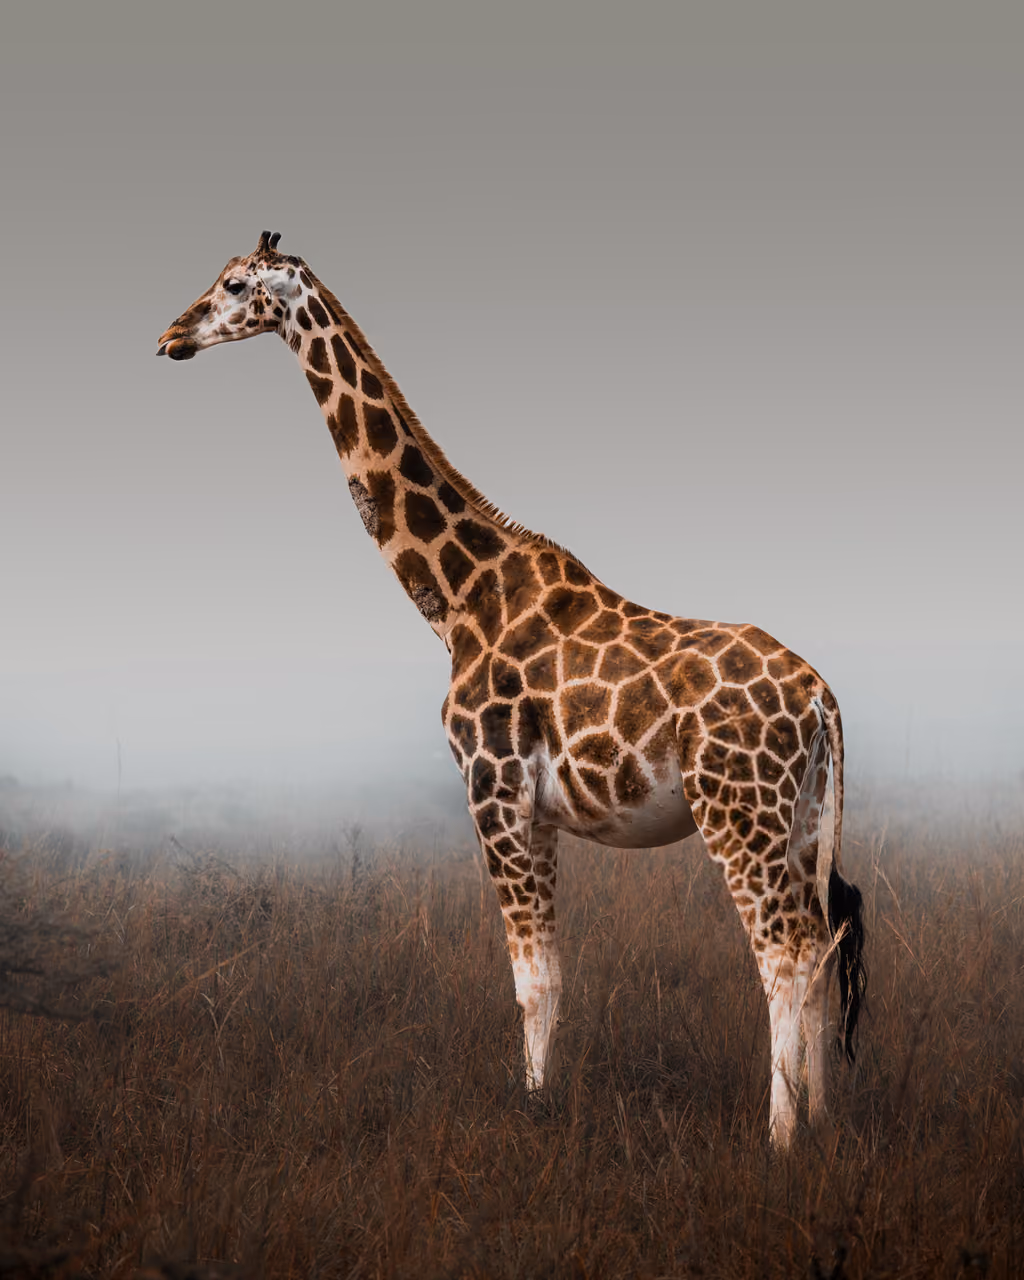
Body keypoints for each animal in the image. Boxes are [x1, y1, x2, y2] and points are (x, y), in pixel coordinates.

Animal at [158, 231, 865, 1146]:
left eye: (236, 285)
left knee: (783, 951)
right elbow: (552, 976)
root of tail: (822, 700)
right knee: (822, 939)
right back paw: (820, 1119)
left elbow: (531, 979)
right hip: (805, 817)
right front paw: (543, 1101)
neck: (460, 599)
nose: (170, 336)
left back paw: (779, 1139)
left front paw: (531, 1110)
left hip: (738, 810)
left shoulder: (490, 788)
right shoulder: (538, 809)